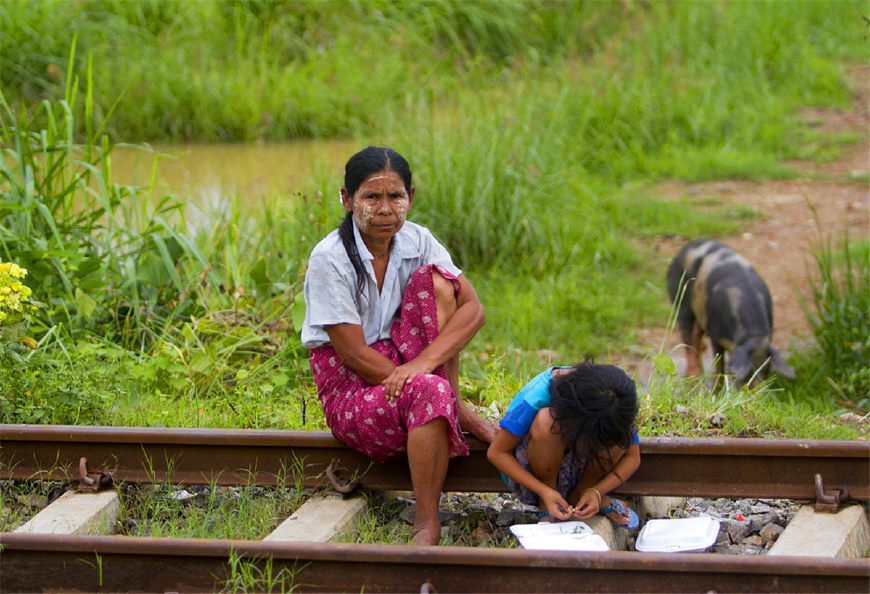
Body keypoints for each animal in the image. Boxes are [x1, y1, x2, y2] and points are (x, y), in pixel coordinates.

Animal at [668, 238, 796, 386]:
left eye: (767, 369)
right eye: (749, 372)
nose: (757, 391)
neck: (752, 336)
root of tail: (682, 251)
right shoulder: (715, 335)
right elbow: (719, 366)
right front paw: (716, 389)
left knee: (696, 335)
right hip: (680, 303)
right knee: (688, 339)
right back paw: (693, 377)